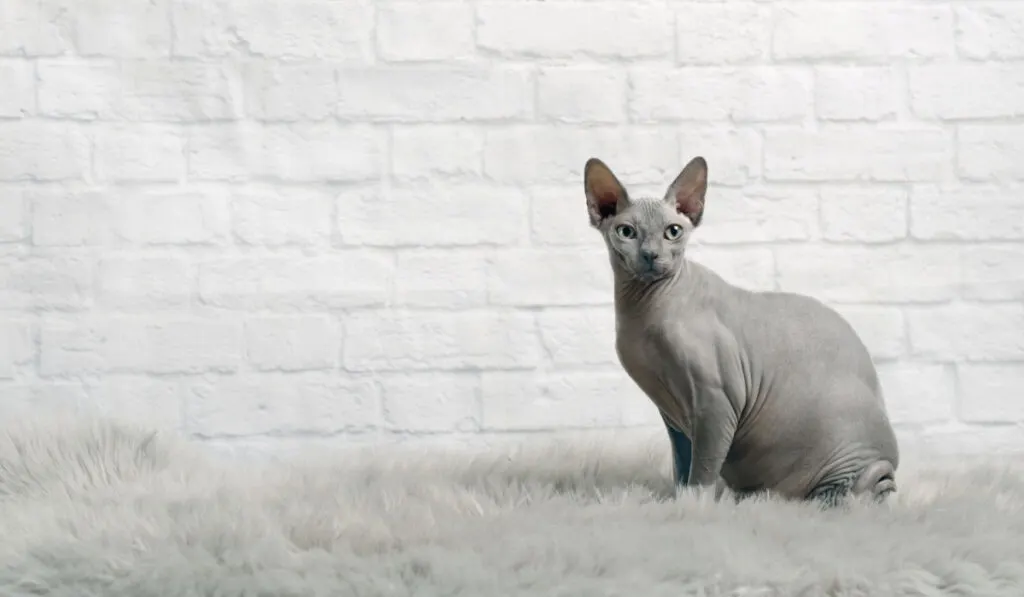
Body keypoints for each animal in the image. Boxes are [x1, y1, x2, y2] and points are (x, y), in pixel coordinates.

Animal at [585, 156, 897, 507]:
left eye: (673, 232)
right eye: (626, 232)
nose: (651, 255)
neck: (644, 309)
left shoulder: (716, 402)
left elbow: (703, 467)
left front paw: (695, 505)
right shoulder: (673, 414)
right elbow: (683, 463)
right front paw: (677, 500)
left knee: (859, 490)